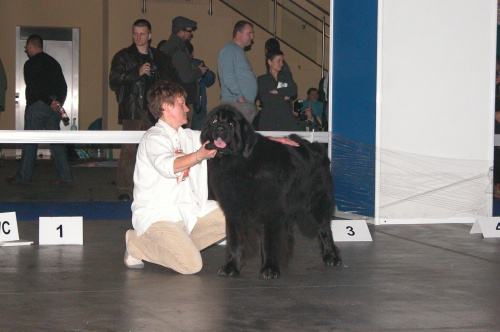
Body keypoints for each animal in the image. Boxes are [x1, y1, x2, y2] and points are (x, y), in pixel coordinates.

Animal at [201, 105, 342, 278]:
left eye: (231, 124)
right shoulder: (234, 210)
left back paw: (331, 257)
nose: (220, 129)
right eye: (215, 121)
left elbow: (269, 241)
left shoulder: (270, 210)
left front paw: (269, 268)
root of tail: (317, 147)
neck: (238, 162)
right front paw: (231, 266)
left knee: (325, 229)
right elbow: (234, 240)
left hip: (318, 202)